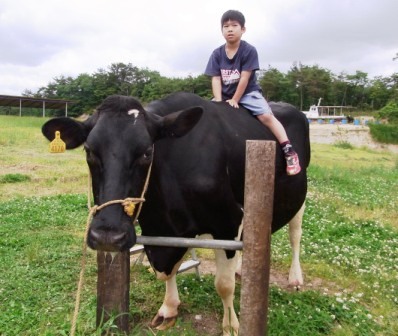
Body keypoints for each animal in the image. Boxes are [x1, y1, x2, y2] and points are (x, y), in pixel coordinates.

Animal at [42, 92, 310, 336]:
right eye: (88, 150)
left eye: (147, 152)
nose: (108, 236)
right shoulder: (161, 229)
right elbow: (165, 271)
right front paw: (168, 308)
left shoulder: (228, 221)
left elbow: (224, 285)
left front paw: (231, 326)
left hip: (299, 197)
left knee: (295, 235)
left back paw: (296, 278)